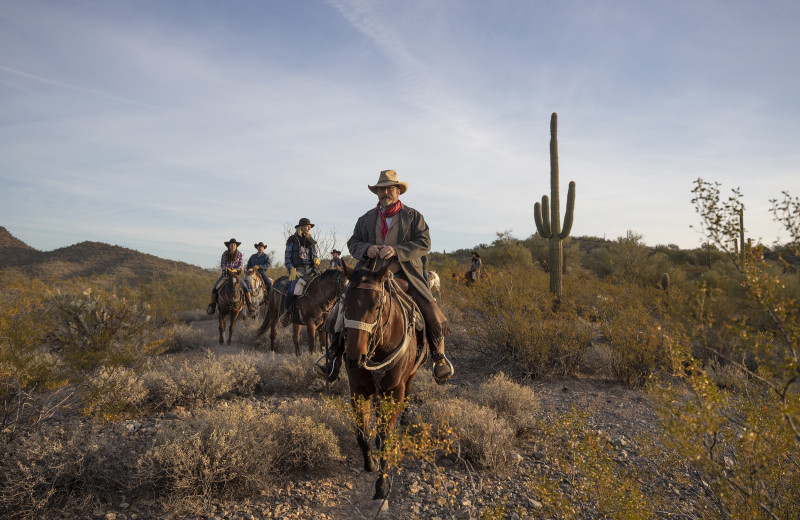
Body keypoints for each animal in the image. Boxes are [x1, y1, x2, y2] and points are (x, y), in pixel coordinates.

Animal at [340, 262, 424, 506]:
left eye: (377, 305)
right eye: (344, 304)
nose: (354, 357)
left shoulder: (395, 392)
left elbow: (386, 437)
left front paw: (382, 485)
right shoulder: (358, 391)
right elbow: (362, 433)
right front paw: (371, 463)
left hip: (408, 380)